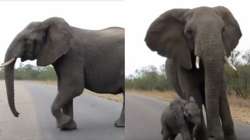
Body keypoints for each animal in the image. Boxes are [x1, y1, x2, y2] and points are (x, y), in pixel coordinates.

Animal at [146, 6, 241, 140]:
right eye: (189, 32)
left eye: (223, 30)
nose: (214, 136)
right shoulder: (183, 63)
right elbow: (193, 93)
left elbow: (222, 93)